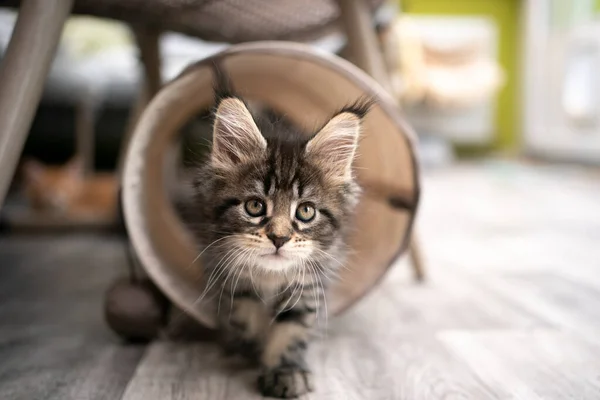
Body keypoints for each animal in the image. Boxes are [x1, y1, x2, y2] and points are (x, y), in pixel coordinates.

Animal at [191, 96, 366, 396]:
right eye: (255, 206)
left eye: (306, 211)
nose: (279, 238)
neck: (270, 276)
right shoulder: (233, 279)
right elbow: (248, 318)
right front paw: (251, 351)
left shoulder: (309, 285)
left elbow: (292, 331)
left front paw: (286, 372)